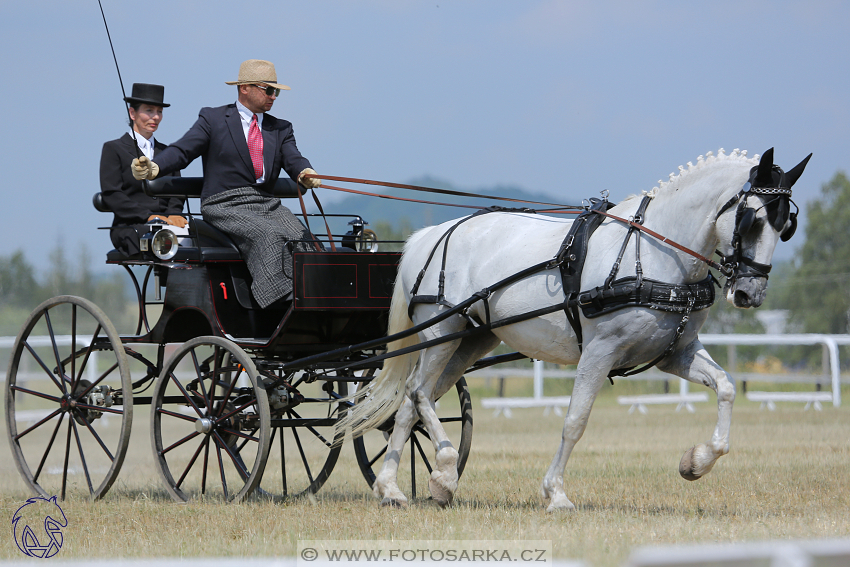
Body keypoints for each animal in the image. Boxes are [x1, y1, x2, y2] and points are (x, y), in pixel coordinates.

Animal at [338, 149, 808, 512]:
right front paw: (556, 494)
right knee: (418, 392)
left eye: (786, 225)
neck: (656, 251)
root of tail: (433, 233)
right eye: (753, 221)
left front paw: (696, 462)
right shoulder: (600, 351)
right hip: (443, 330)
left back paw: (395, 487)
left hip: (471, 340)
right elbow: (575, 422)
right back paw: (444, 470)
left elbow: (726, 387)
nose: (750, 293)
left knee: (409, 403)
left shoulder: (676, 352)